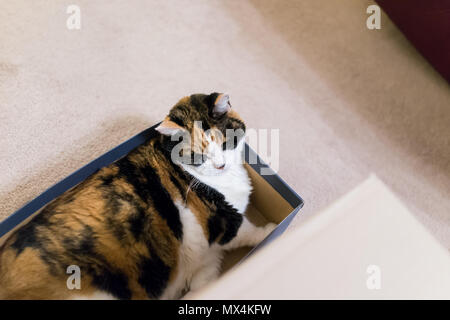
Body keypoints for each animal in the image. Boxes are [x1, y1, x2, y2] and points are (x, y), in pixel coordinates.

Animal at [0, 92, 274, 300]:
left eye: (225, 141)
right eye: (198, 156)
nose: (219, 165)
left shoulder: (207, 261)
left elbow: (203, 282)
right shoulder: (224, 224)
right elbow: (248, 231)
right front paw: (269, 230)